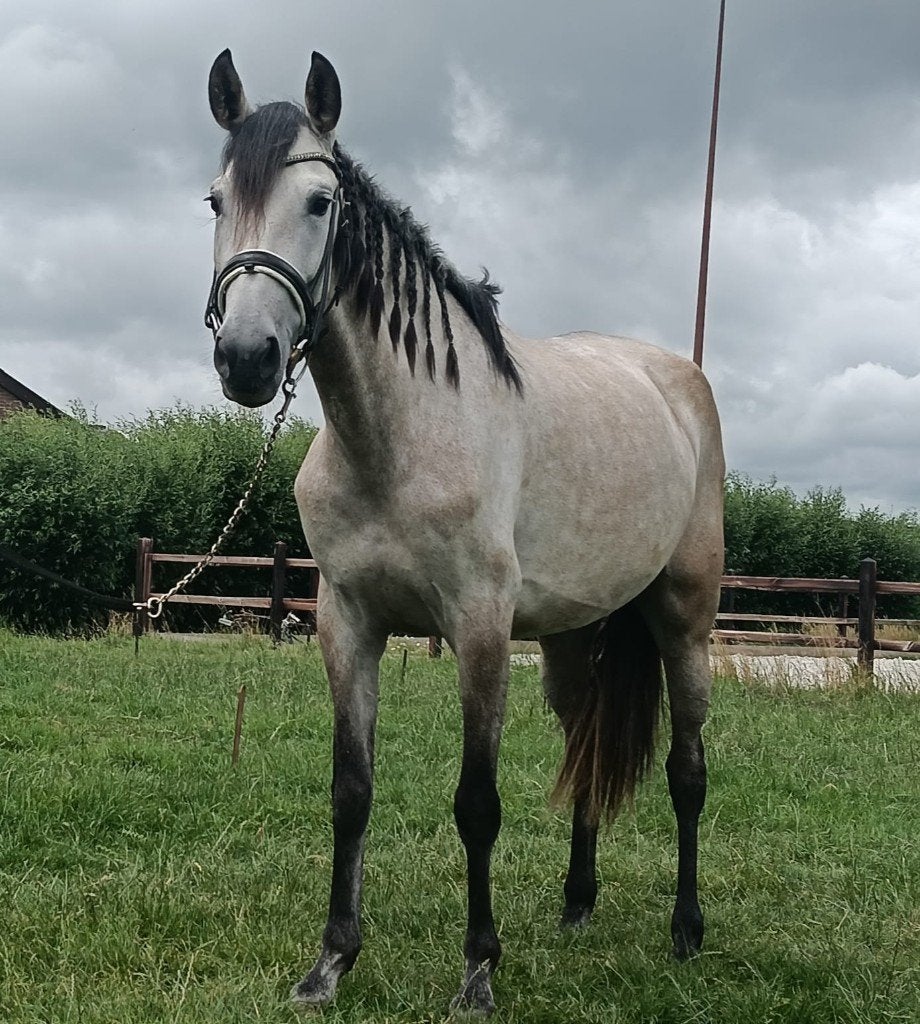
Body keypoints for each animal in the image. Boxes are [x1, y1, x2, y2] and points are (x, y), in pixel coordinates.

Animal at [204, 49, 725, 1016]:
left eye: (320, 203)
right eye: (217, 201)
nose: (247, 359)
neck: (399, 437)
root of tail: (677, 379)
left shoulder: (480, 629)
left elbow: (477, 803)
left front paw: (479, 970)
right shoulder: (348, 625)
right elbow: (352, 789)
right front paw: (330, 963)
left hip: (686, 621)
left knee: (687, 770)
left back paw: (686, 930)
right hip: (571, 640)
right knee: (586, 748)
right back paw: (577, 903)